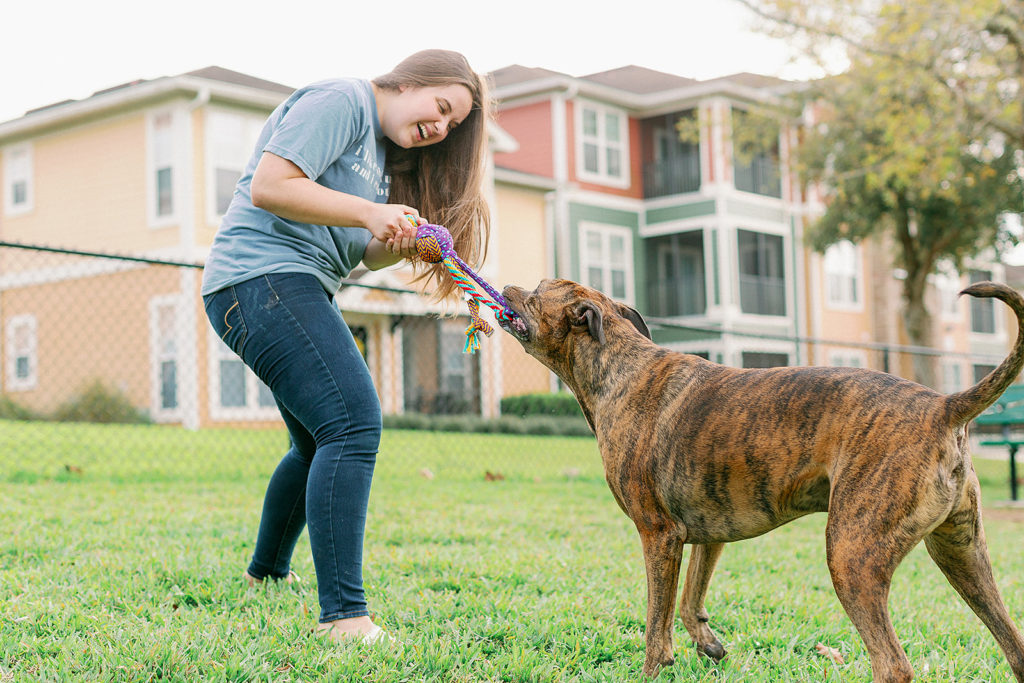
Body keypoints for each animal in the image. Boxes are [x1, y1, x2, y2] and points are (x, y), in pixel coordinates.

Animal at [499, 278, 1024, 683]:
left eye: (539, 291)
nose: (506, 288)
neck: (619, 365)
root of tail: (943, 406)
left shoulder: (658, 536)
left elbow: (656, 625)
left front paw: (656, 666)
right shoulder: (705, 535)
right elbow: (689, 601)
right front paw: (709, 644)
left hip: (852, 557)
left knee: (893, 665)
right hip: (962, 555)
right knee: (1013, 647)